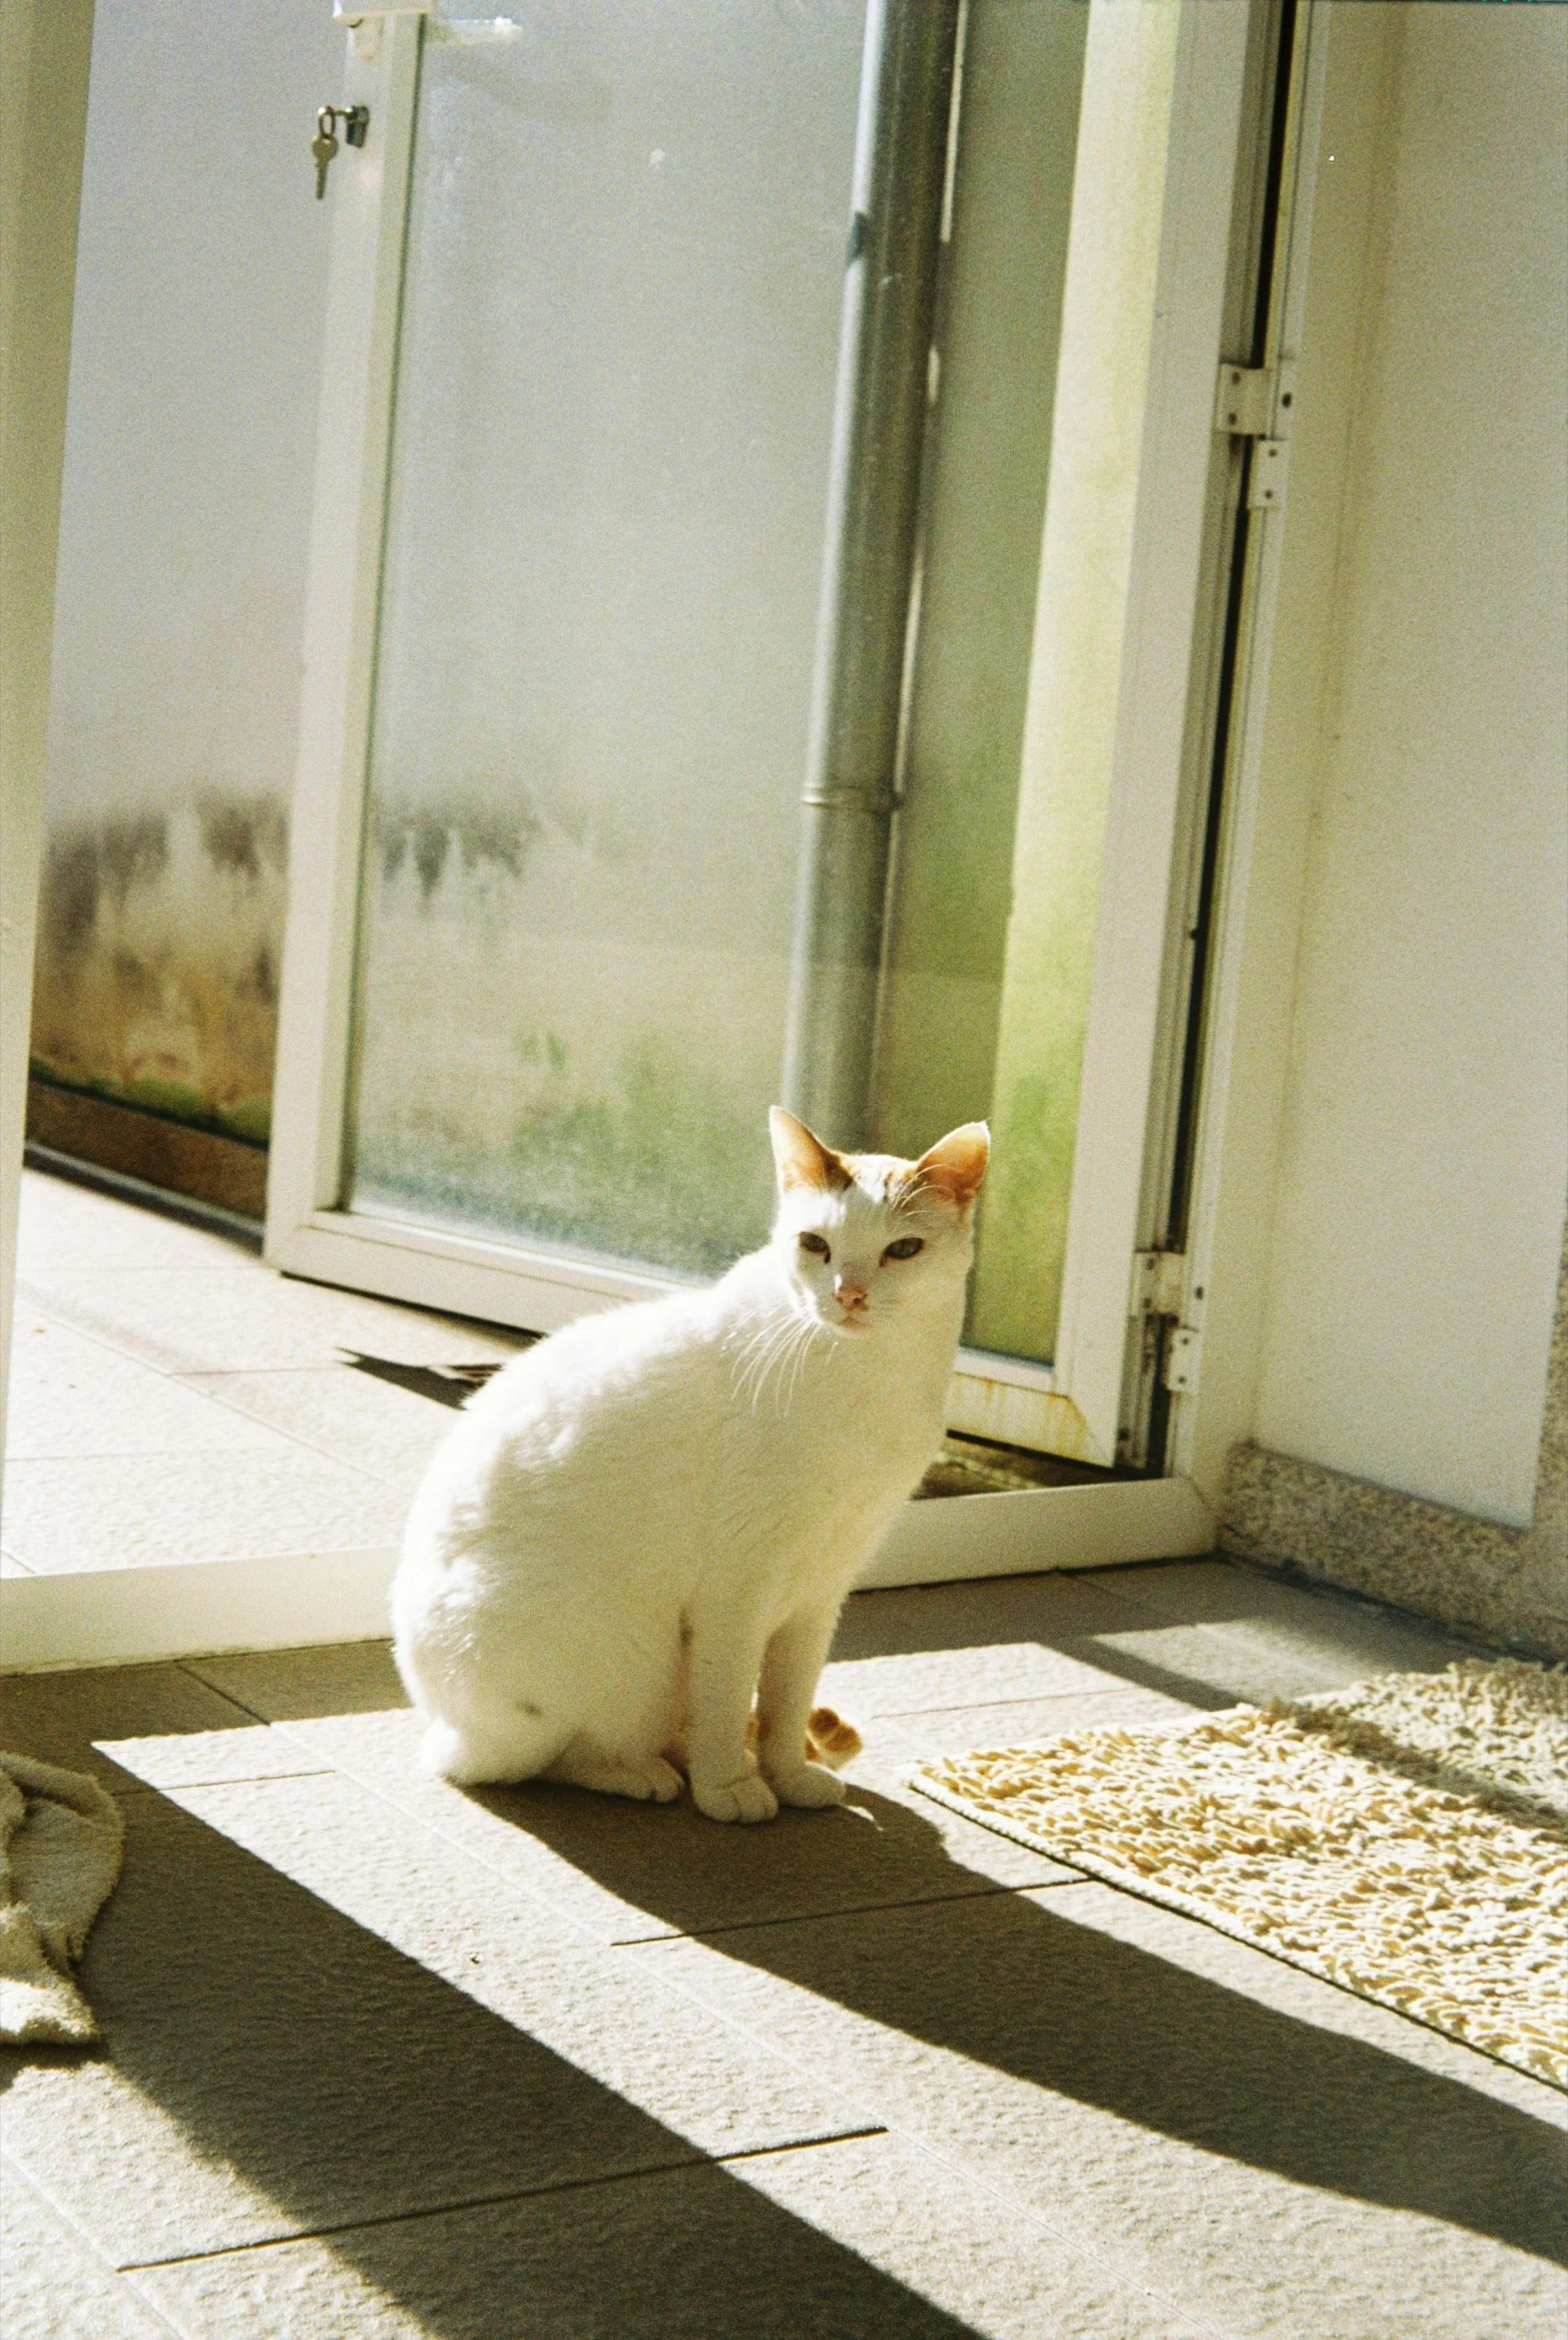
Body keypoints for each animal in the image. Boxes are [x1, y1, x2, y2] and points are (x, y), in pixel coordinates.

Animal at [390, 1104, 996, 1815]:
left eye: (902, 1250)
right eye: (814, 1244)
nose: (848, 1295)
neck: (871, 1377)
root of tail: (436, 1720)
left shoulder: (821, 1590)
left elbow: (788, 1702)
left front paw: (786, 1775)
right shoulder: (735, 1593)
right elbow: (729, 1698)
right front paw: (730, 1787)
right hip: (628, 1655)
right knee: (531, 1760)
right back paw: (645, 1773)